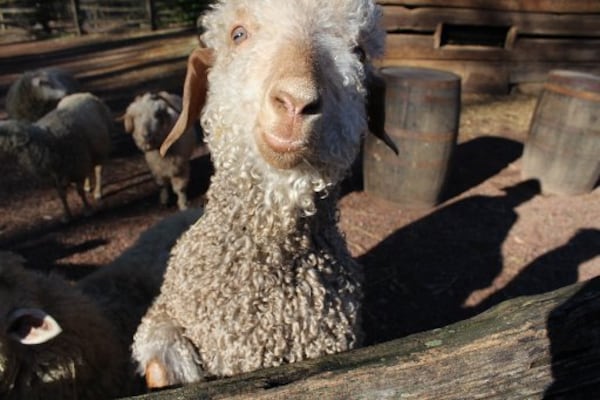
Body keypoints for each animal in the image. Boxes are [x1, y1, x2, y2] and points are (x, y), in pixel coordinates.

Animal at [0, 93, 112, 222]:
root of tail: (84, 94)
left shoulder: (76, 166)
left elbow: (79, 192)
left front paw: (88, 210)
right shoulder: (55, 174)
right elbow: (61, 195)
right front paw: (67, 215)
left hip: (100, 149)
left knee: (98, 171)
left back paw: (98, 193)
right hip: (88, 153)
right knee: (89, 169)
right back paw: (87, 186)